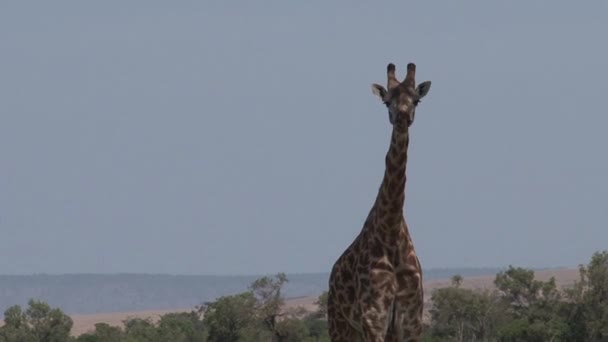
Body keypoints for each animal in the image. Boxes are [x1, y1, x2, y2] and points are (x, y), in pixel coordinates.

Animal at [328, 62, 432, 342]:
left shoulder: (410, 321)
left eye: (416, 100)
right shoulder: (373, 318)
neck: (392, 233)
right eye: (387, 102)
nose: (403, 117)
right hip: (340, 325)